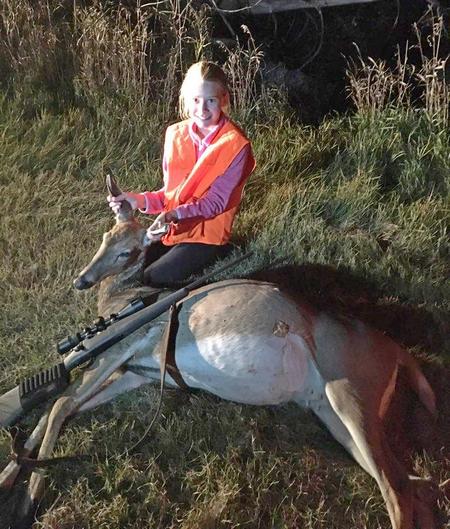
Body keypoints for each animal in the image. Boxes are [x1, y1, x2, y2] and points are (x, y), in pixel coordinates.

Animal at [0, 176, 439, 529]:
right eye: (106, 236)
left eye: (128, 251)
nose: (82, 280)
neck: (125, 301)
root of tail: (401, 352)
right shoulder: (135, 372)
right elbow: (62, 407)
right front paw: (8, 477)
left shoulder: (121, 348)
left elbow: (60, 403)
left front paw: (27, 501)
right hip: (331, 413)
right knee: (414, 483)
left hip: (350, 396)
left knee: (398, 489)